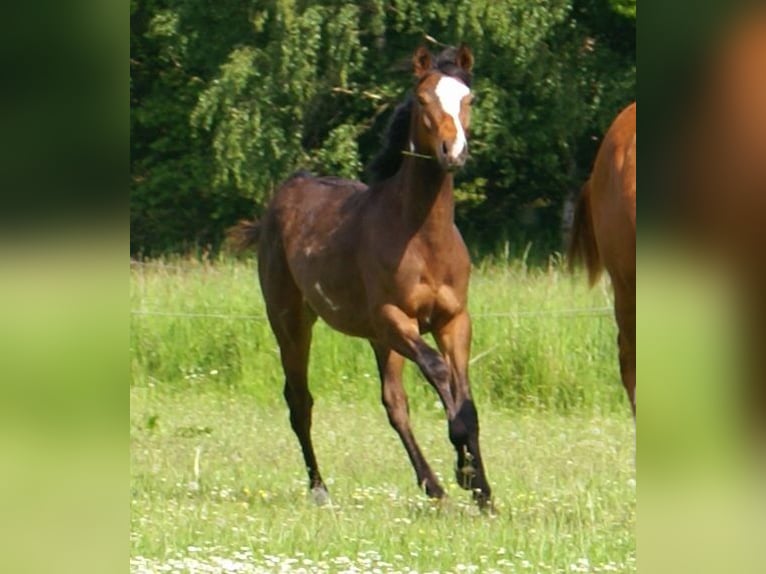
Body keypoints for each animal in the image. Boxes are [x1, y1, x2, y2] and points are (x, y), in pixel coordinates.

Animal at [229, 45, 492, 507]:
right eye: (423, 99)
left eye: (468, 99)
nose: (452, 151)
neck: (423, 237)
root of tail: (284, 195)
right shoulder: (393, 320)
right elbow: (439, 372)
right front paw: (464, 466)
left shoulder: (453, 320)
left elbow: (465, 399)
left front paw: (481, 488)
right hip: (291, 321)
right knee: (299, 400)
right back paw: (320, 489)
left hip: (376, 340)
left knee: (394, 403)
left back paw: (433, 486)